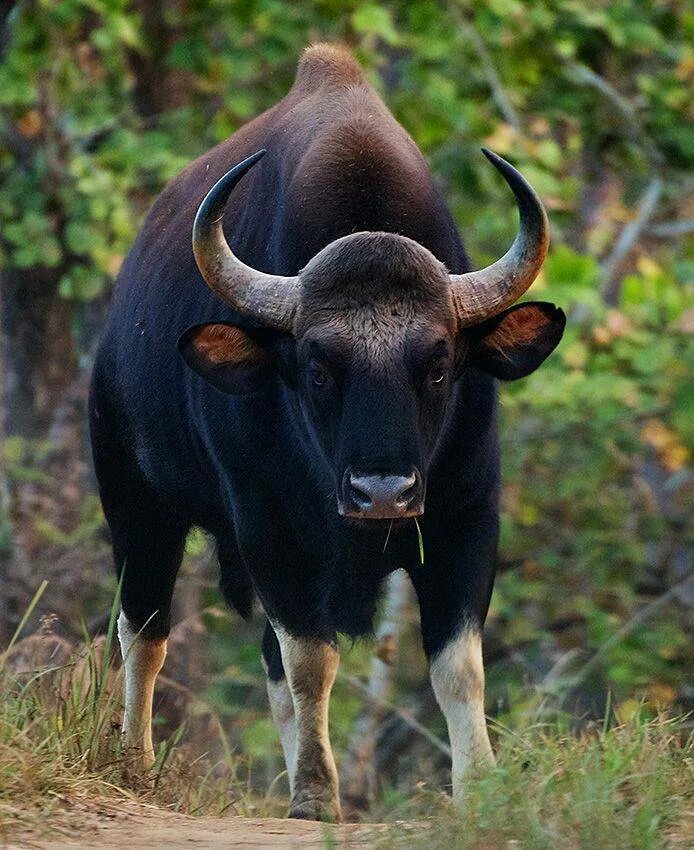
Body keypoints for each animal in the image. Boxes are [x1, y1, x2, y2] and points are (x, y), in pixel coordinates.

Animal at [88, 43, 564, 820]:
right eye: (316, 366)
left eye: (439, 363)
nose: (383, 490)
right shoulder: (272, 531)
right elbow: (312, 662)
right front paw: (315, 794)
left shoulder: (467, 516)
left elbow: (458, 668)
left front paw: (480, 790)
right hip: (135, 504)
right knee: (145, 632)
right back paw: (135, 762)